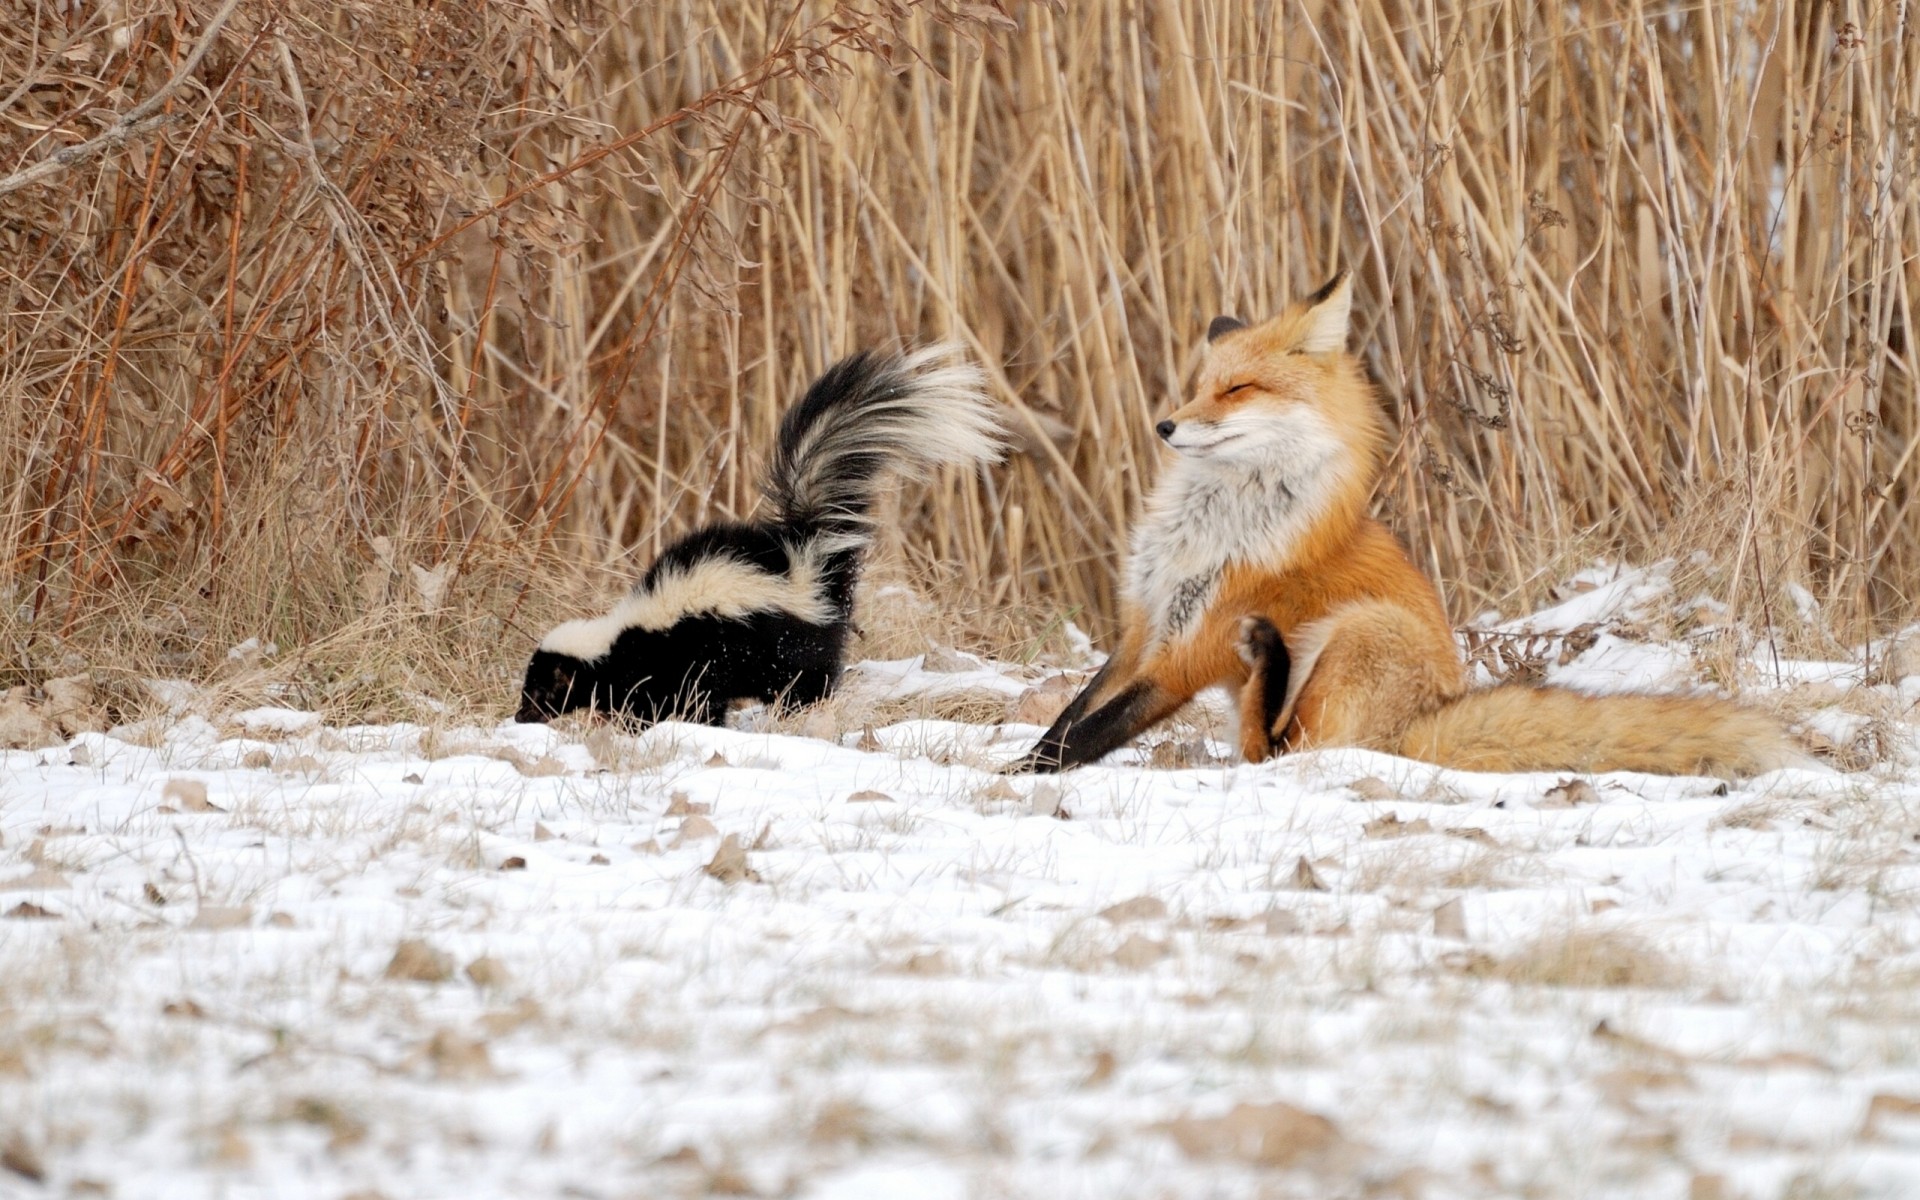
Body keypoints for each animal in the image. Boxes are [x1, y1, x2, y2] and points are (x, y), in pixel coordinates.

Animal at [1010, 269, 1801, 778]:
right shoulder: (1143, 628)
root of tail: (1422, 725)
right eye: (1201, 386)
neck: (1209, 528)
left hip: (1361, 633)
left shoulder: (1187, 652)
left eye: (1238, 390)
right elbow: (1071, 717)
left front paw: (1016, 780)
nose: (1166, 425)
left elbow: (1085, 737)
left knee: (1281, 752)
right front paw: (1018, 764)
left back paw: (1272, 657)